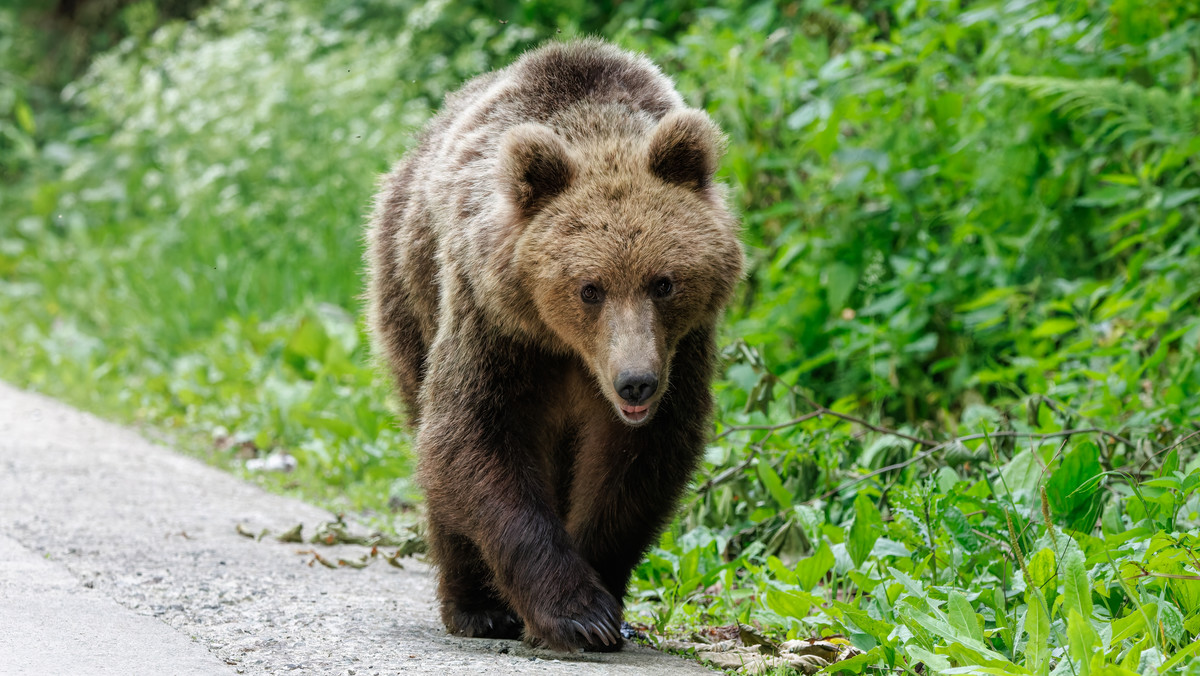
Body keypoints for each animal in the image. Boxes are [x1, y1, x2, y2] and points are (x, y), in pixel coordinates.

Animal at [364, 39, 739, 653]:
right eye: (590, 288)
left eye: (663, 282)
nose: (636, 382)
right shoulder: (495, 326)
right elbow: (472, 437)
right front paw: (575, 614)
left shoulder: (680, 352)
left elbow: (637, 464)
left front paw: (605, 603)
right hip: (407, 293)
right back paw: (475, 607)